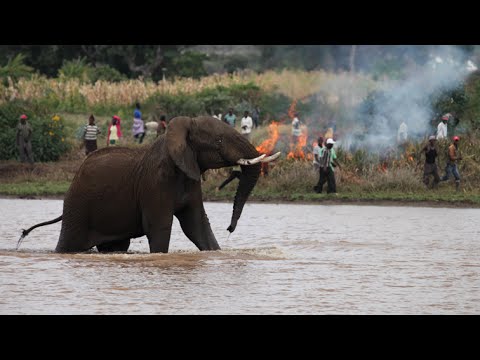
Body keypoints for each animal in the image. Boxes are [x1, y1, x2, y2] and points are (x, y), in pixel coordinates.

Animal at [18, 115, 280, 253]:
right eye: (218, 141)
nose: (230, 228)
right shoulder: (155, 183)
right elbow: (160, 226)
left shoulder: (189, 175)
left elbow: (197, 225)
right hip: (78, 204)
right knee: (70, 244)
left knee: (115, 246)